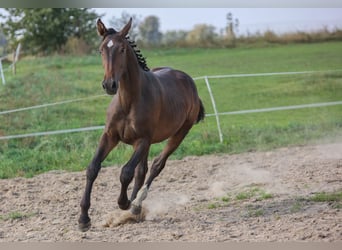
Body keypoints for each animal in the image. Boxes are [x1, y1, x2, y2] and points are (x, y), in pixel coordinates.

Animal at [79, 17, 204, 231]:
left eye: (122, 49)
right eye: (101, 49)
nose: (109, 85)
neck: (128, 101)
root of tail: (188, 81)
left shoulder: (143, 140)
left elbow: (126, 172)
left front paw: (124, 202)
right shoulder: (110, 136)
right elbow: (93, 168)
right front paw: (84, 219)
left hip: (179, 133)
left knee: (156, 166)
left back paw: (136, 205)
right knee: (142, 170)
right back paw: (134, 210)